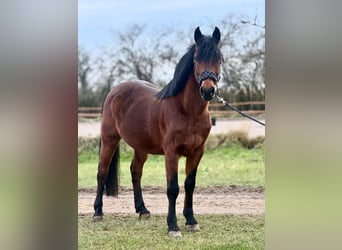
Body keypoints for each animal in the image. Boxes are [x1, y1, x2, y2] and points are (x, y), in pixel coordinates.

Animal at [93, 26, 223, 237]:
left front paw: (191, 221)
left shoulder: (197, 152)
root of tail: (114, 91)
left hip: (140, 146)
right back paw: (97, 212)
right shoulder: (171, 152)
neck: (186, 110)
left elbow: (189, 184)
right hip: (109, 139)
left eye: (219, 58)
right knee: (102, 172)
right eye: (196, 59)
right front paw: (173, 227)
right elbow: (172, 188)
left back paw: (143, 210)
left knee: (135, 171)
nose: (207, 90)